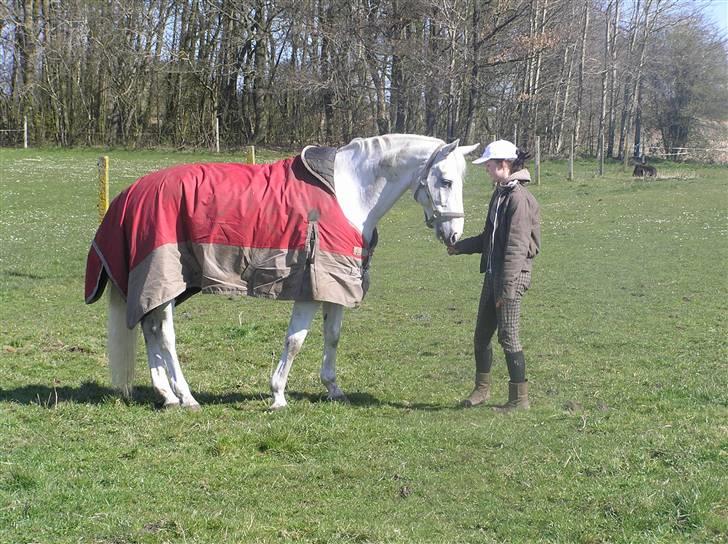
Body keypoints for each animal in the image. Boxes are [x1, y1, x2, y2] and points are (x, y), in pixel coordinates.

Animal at [102, 135, 478, 408]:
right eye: (445, 181)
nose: (454, 235)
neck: (348, 193)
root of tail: (131, 192)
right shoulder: (309, 287)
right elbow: (295, 340)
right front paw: (278, 395)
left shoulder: (336, 286)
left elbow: (332, 336)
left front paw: (333, 389)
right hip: (166, 279)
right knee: (165, 334)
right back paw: (186, 396)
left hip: (166, 288)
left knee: (149, 328)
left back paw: (167, 396)